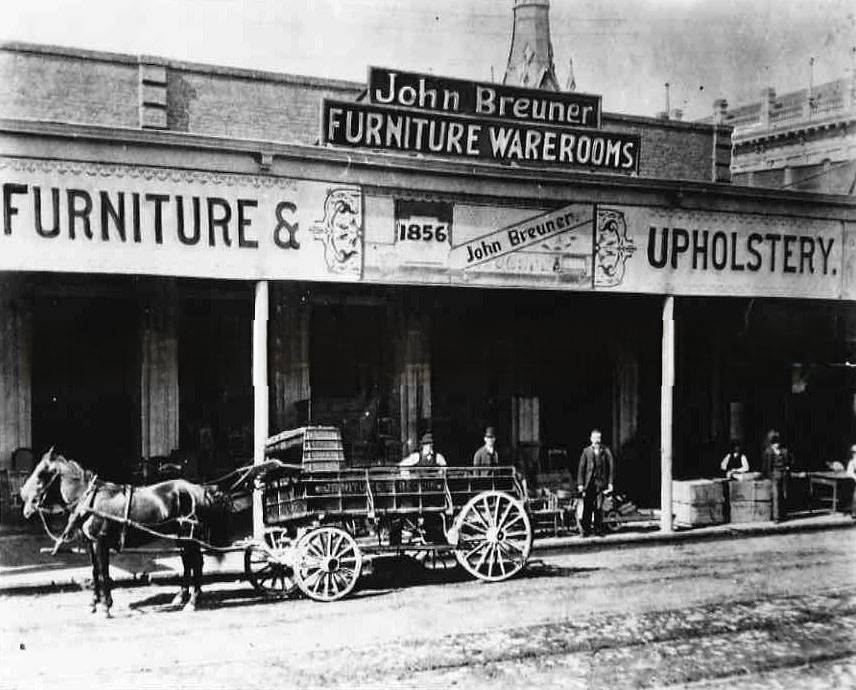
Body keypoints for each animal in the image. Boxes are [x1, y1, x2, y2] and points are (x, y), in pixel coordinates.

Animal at [22, 448, 231, 616]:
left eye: (41, 474)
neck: (89, 499)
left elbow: (103, 572)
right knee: (188, 562)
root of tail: (199, 489)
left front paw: (105, 606)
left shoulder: (100, 542)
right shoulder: (91, 543)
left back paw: (193, 601)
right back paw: (181, 596)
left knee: (197, 563)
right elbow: (95, 571)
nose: (25, 498)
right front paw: (94, 603)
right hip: (181, 537)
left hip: (191, 536)